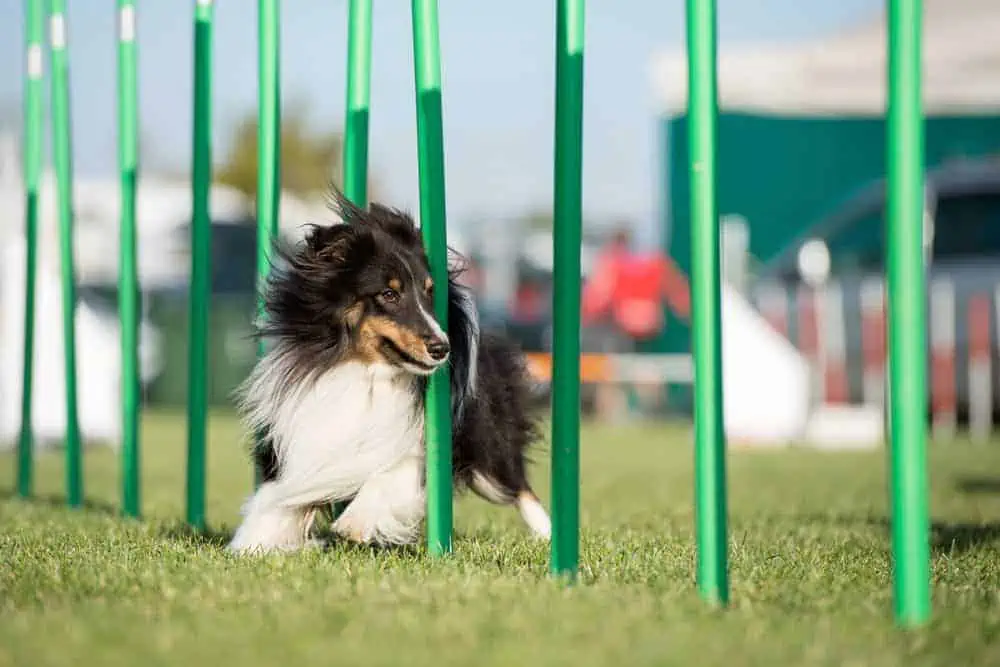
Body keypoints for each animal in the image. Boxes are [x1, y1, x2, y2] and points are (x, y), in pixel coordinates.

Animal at [227, 189, 552, 552]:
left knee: (518, 484)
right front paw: (253, 543)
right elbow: (280, 494)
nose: (442, 348)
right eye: (388, 293)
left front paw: (356, 522)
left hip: (488, 447)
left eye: (429, 292)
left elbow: (397, 470)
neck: (369, 373)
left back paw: (549, 535)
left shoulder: (421, 442)